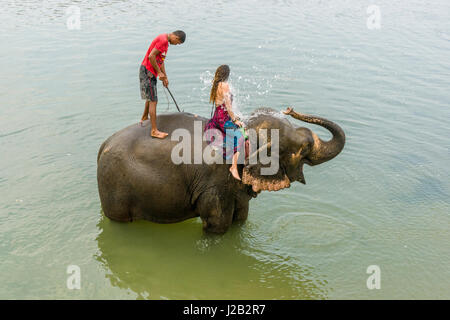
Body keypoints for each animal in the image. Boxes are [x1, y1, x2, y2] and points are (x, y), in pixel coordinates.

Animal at [97, 106, 344, 234]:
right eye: (304, 148)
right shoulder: (214, 183)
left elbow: (241, 217)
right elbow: (218, 224)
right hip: (115, 187)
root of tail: (102, 146)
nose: (291, 109)